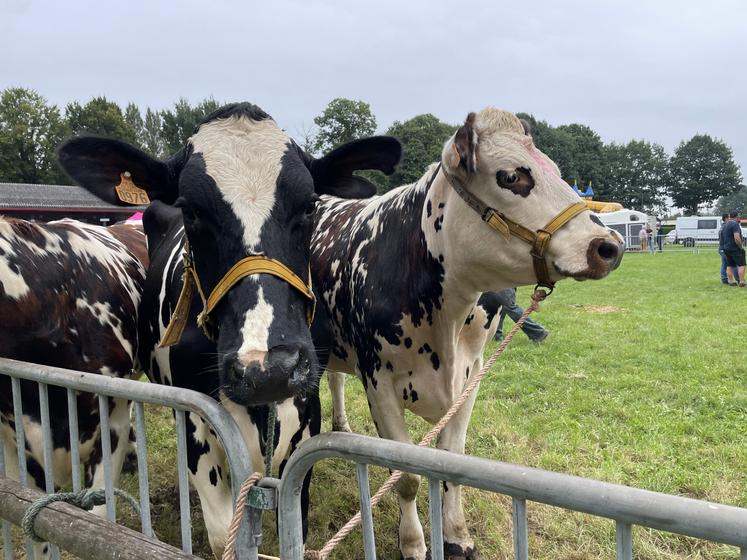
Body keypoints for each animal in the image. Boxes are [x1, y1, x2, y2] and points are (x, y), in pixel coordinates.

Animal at [58, 103, 404, 556]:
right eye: (191, 211)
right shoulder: (197, 417)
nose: (268, 367)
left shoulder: (305, 411)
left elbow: (296, 520)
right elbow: (226, 533)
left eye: (310, 206)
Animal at [312, 107, 628, 556]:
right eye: (511, 177)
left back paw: (340, 426)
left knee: (336, 379)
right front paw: (413, 544)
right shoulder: (379, 383)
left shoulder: (470, 375)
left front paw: (457, 537)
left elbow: (453, 465)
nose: (610, 245)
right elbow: (406, 479)